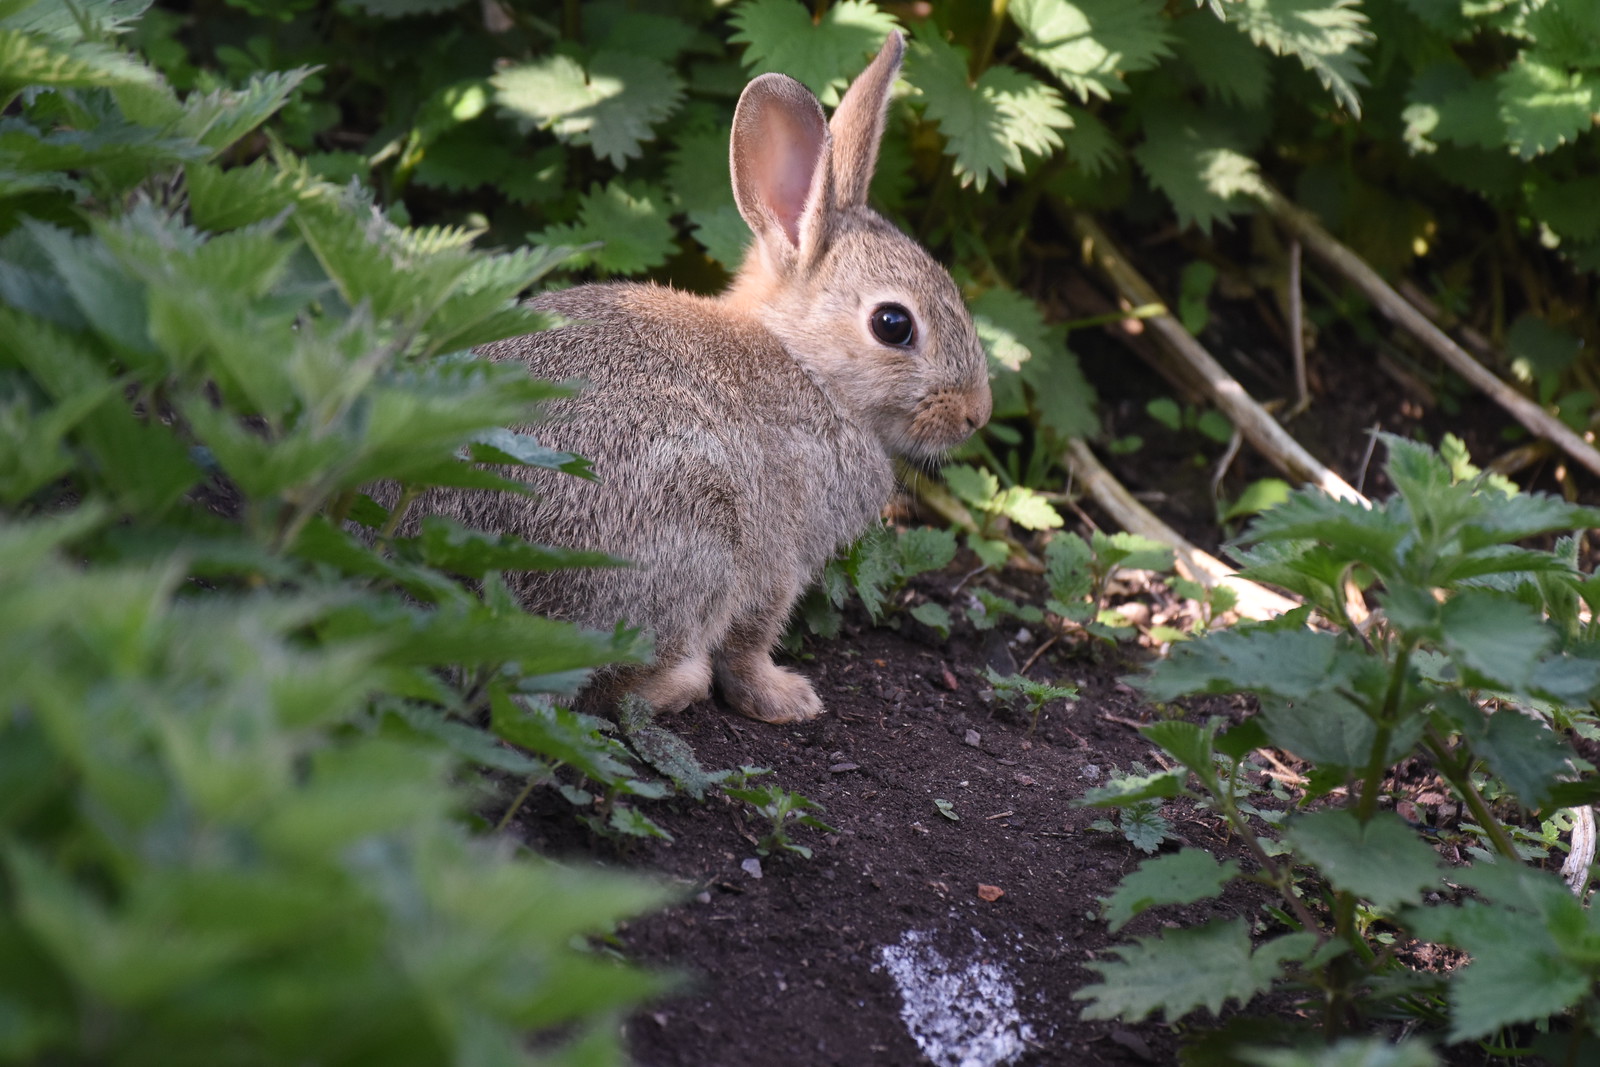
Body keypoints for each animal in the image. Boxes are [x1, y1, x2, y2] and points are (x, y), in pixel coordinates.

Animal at [424, 31, 991, 724]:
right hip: (690, 536)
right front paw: (786, 699)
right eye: (893, 324)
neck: (809, 369)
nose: (977, 414)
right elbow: (749, 640)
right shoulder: (773, 556)